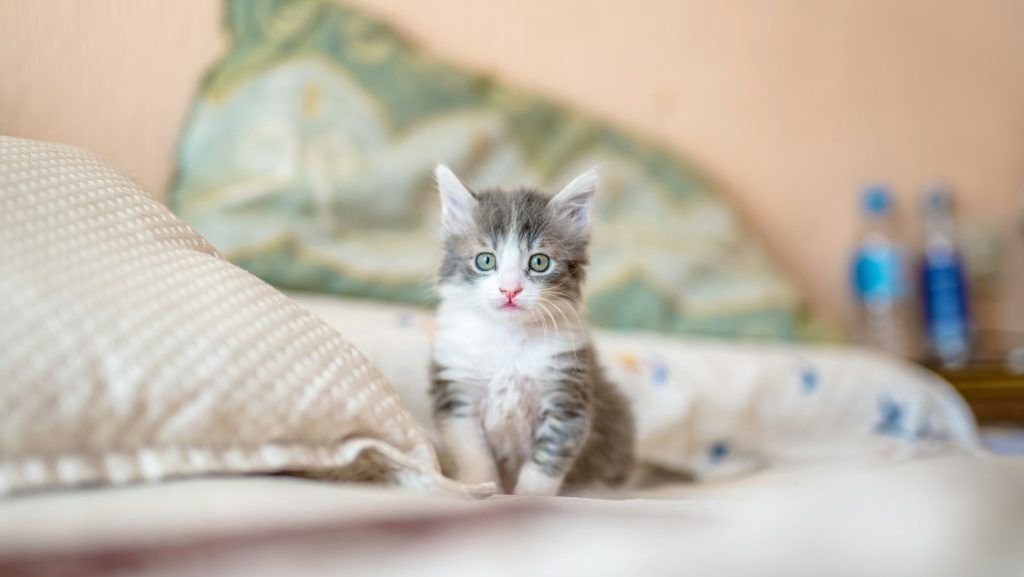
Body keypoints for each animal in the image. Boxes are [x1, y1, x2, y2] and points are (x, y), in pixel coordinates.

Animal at [428, 163, 634, 496]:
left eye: (539, 262)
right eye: (485, 260)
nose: (510, 290)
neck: (508, 338)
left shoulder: (567, 398)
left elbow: (544, 464)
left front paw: (526, 498)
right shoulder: (457, 395)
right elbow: (474, 456)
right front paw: (484, 489)